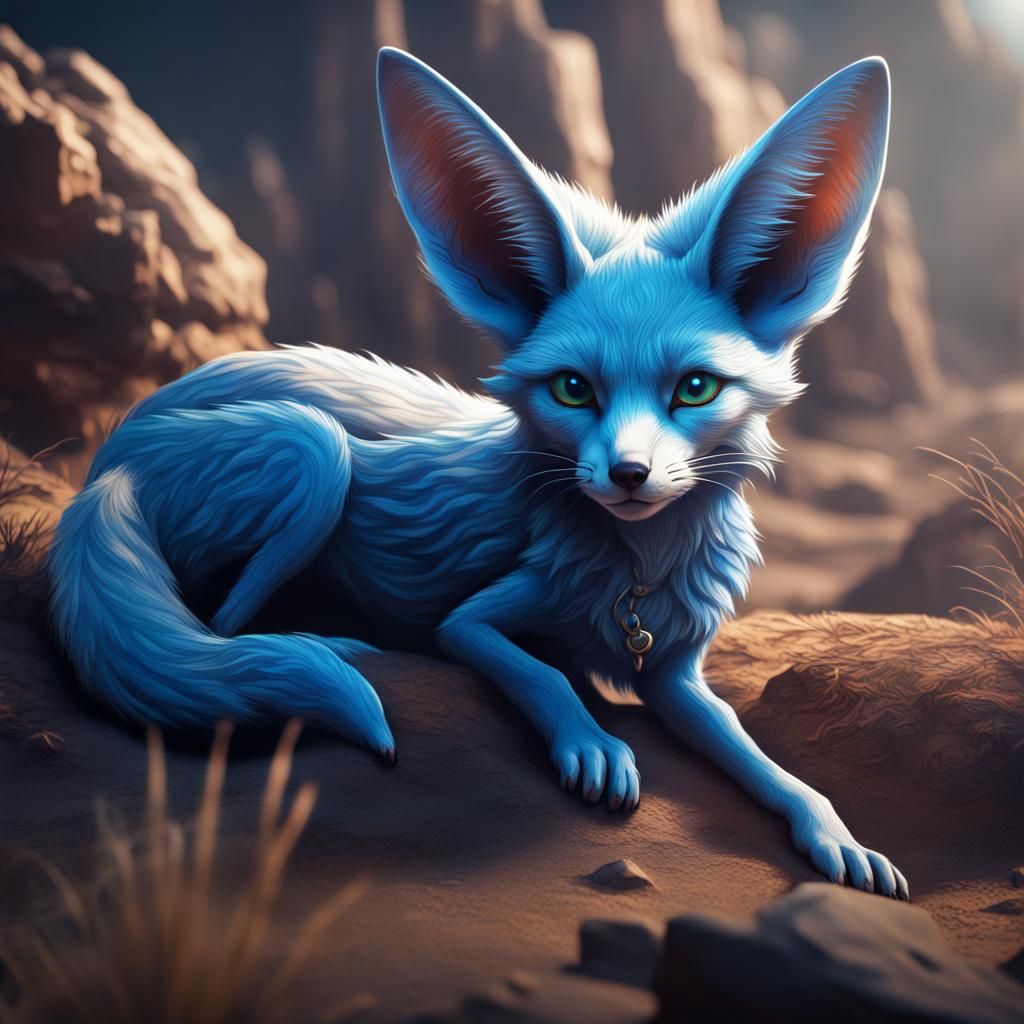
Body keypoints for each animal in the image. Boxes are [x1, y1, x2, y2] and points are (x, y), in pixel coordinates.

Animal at [50, 48, 907, 898]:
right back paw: (331, 640)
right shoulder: (475, 621)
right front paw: (593, 744)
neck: (636, 575)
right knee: (223, 628)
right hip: (313, 449)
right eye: (573, 388)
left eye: (695, 389)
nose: (628, 474)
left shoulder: (673, 674)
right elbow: (540, 673)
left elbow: (761, 758)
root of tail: (115, 451)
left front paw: (836, 836)